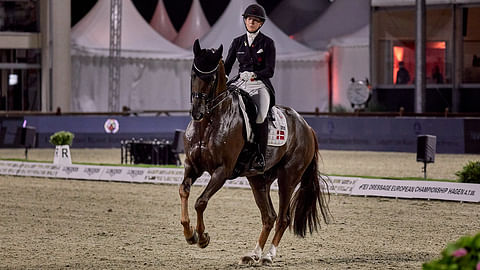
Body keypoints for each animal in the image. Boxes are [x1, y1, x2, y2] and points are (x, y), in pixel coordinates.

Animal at [180, 39, 330, 264]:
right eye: (193, 73)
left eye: (212, 77)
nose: (197, 112)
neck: (208, 123)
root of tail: (306, 126)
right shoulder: (192, 166)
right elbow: (184, 191)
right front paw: (190, 234)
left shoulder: (222, 171)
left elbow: (201, 202)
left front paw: (203, 238)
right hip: (258, 179)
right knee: (269, 217)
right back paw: (253, 254)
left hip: (288, 177)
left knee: (283, 218)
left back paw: (268, 255)